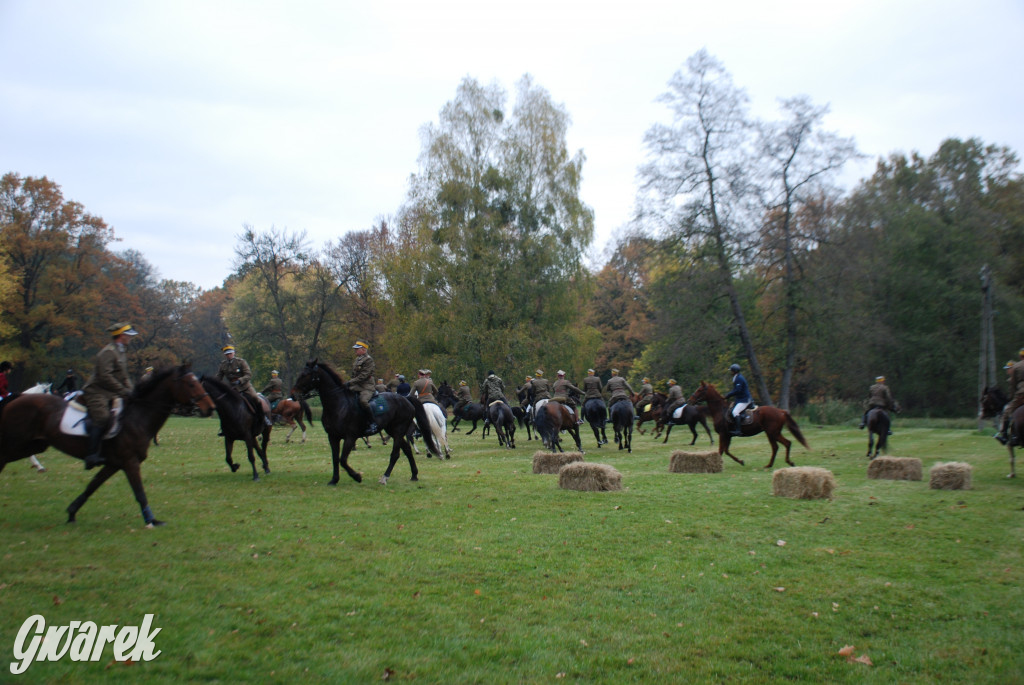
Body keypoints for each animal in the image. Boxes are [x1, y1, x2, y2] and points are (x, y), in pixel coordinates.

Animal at [0, 366, 214, 528]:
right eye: (191, 384)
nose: (210, 407)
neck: (137, 417)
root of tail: (15, 401)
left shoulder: (114, 463)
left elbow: (92, 486)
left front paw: (72, 513)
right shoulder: (130, 462)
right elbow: (139, 492)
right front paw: (151, 520)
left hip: (34, 444)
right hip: (18, 442)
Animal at [290, 360, 438, 483]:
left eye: (306, 375)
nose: (293, 394)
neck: (338, 404)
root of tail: (406, 399)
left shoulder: (350, 437)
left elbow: (343, 460)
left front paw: (357, 476)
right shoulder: (332, 437)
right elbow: (335, 458)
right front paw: (334, 480)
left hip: (398, 430)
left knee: (396, 454)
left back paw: (385, 477)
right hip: (392, 430)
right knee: (407, 449)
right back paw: (414, 475)